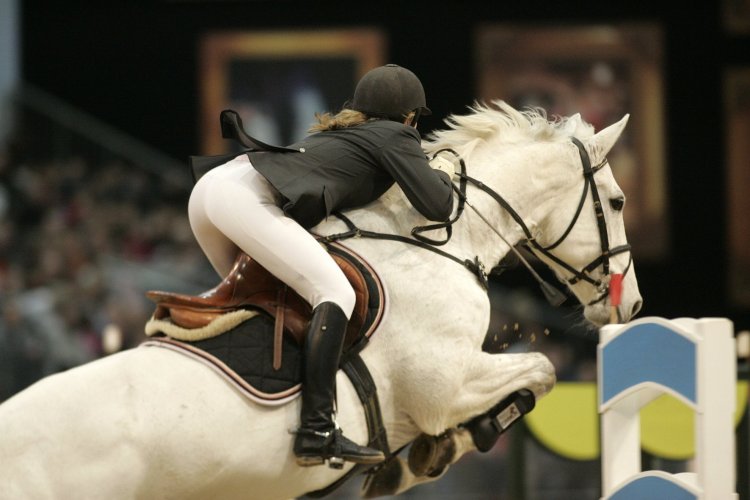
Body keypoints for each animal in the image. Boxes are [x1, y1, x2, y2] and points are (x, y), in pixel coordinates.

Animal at [0, 101, 642, 499]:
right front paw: (442, 449)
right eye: (616, 202)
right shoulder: (446, 382)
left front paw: (422, 456)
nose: (632, 306)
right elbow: (541, 372)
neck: (444, 239)